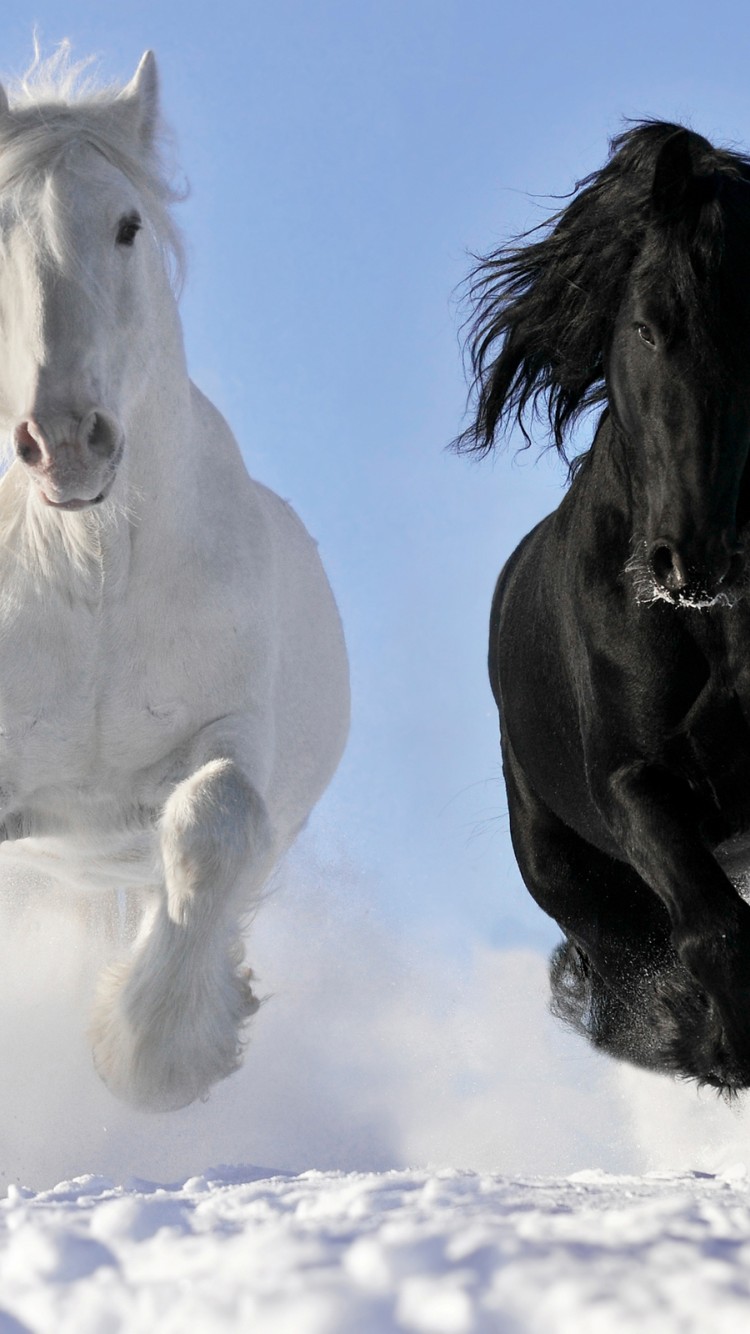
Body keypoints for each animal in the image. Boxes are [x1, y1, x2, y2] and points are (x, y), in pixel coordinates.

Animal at [0, 50, 349, 1112]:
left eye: (128, 223)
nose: (64, 440)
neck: (92, 581)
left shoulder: (233, 741)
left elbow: (216, 820)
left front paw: (153, 1055)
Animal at [457, 121, 750, 1094]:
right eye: (648, 324)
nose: (686, 556)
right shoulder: (634, 784)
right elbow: (714, 932)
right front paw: (723, 1045)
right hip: (583, 884)